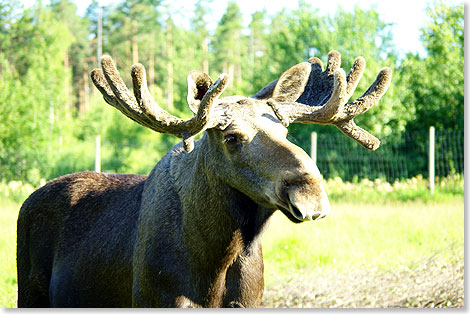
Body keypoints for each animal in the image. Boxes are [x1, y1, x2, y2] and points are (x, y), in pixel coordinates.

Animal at [16, 51, 392, 306]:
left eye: (285, 130)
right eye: (232, 138)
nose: (311, 196)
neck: (217, 255)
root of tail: (29, 200)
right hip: (29, 292)